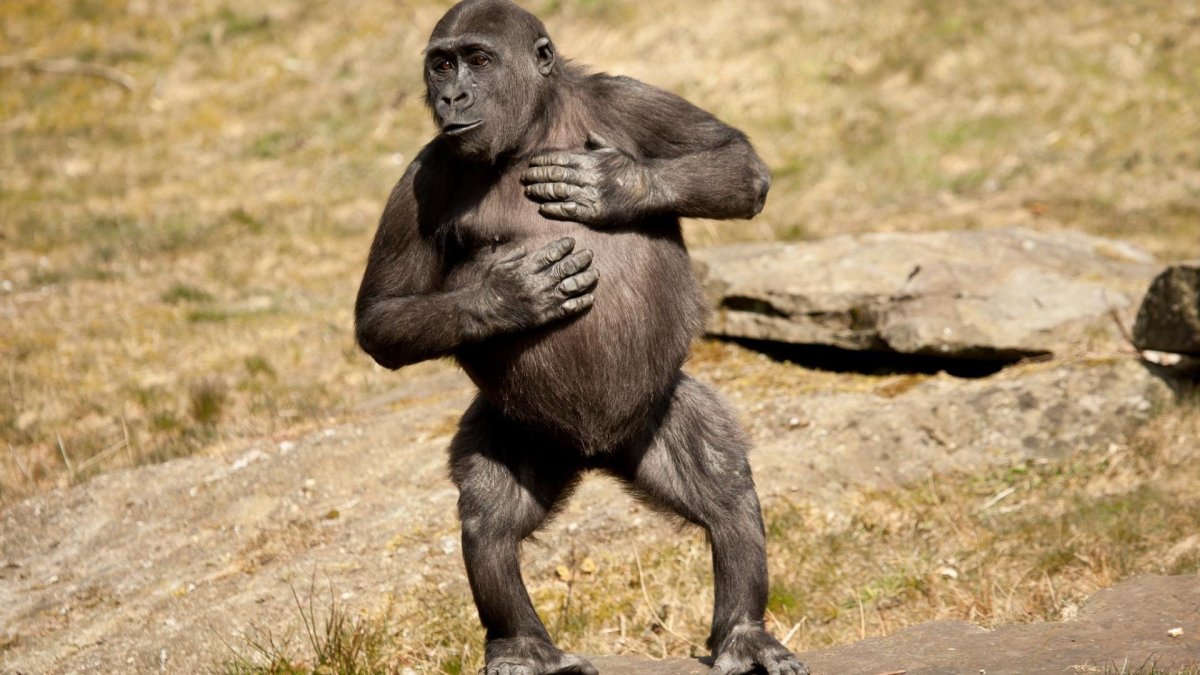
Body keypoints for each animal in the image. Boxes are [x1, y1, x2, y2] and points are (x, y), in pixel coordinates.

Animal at [354, 1, 807, 674]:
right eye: (442, 64)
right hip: (527, 429)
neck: (530, 132)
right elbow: (380, 317)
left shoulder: (622, 99)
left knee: (723, 488)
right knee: (490, 520)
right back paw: (524, 644)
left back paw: (745, 633)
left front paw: (615, 185)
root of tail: (597, 452)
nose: (451, 94)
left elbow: (738, 164)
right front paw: (505, 297)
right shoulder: (421, 177)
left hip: (654, 407)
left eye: (478, 60)